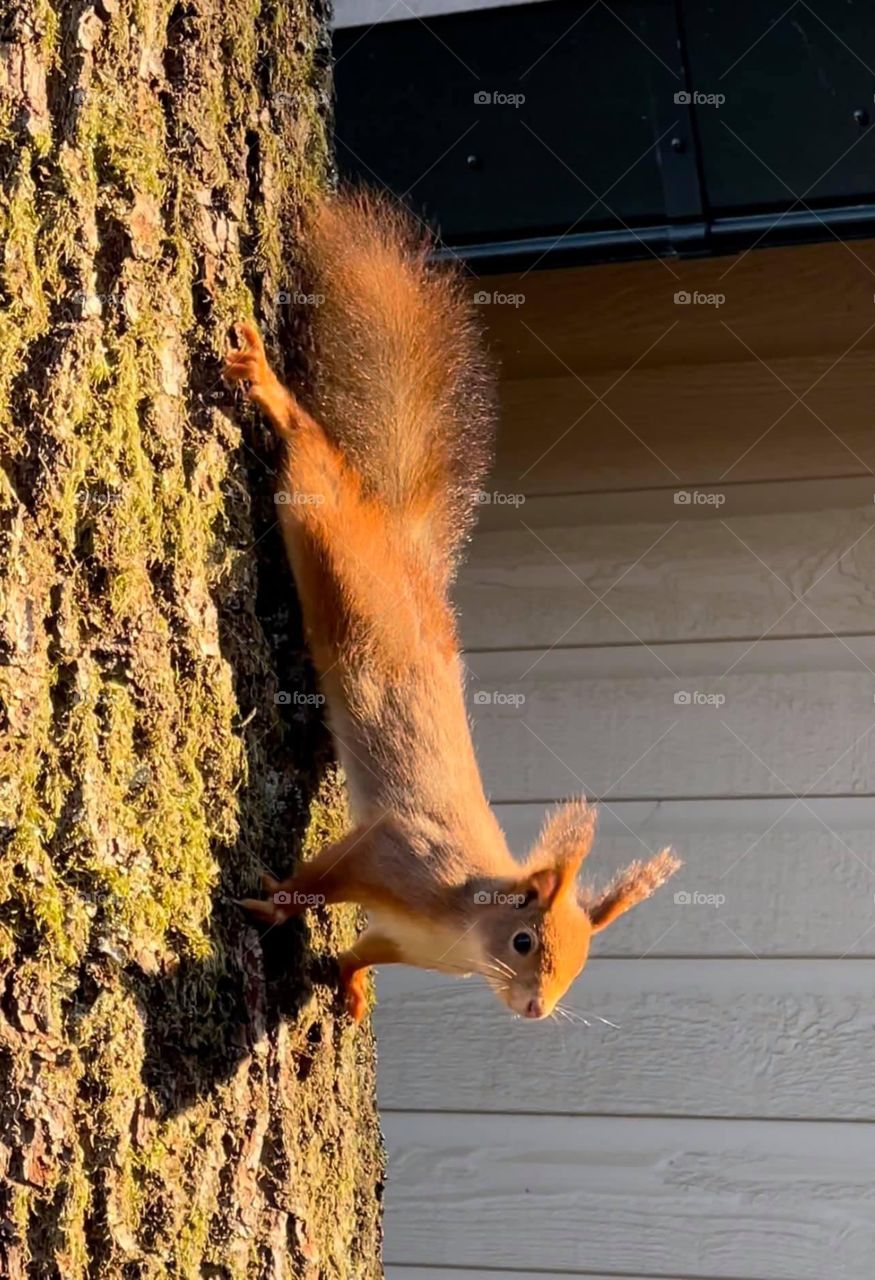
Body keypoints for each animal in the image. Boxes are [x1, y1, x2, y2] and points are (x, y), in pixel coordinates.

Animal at [223, 191, 680, 1024]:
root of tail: (405, 554)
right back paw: (270, 390)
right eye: (525, 941)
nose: (536, 1011)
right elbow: (319, 880)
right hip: (332, 541)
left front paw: (350, 987)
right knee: (310, 452)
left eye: (580, 966)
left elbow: (363, 949)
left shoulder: (408, 940)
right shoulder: (394, 855)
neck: (463, 927)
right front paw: (271, 903)